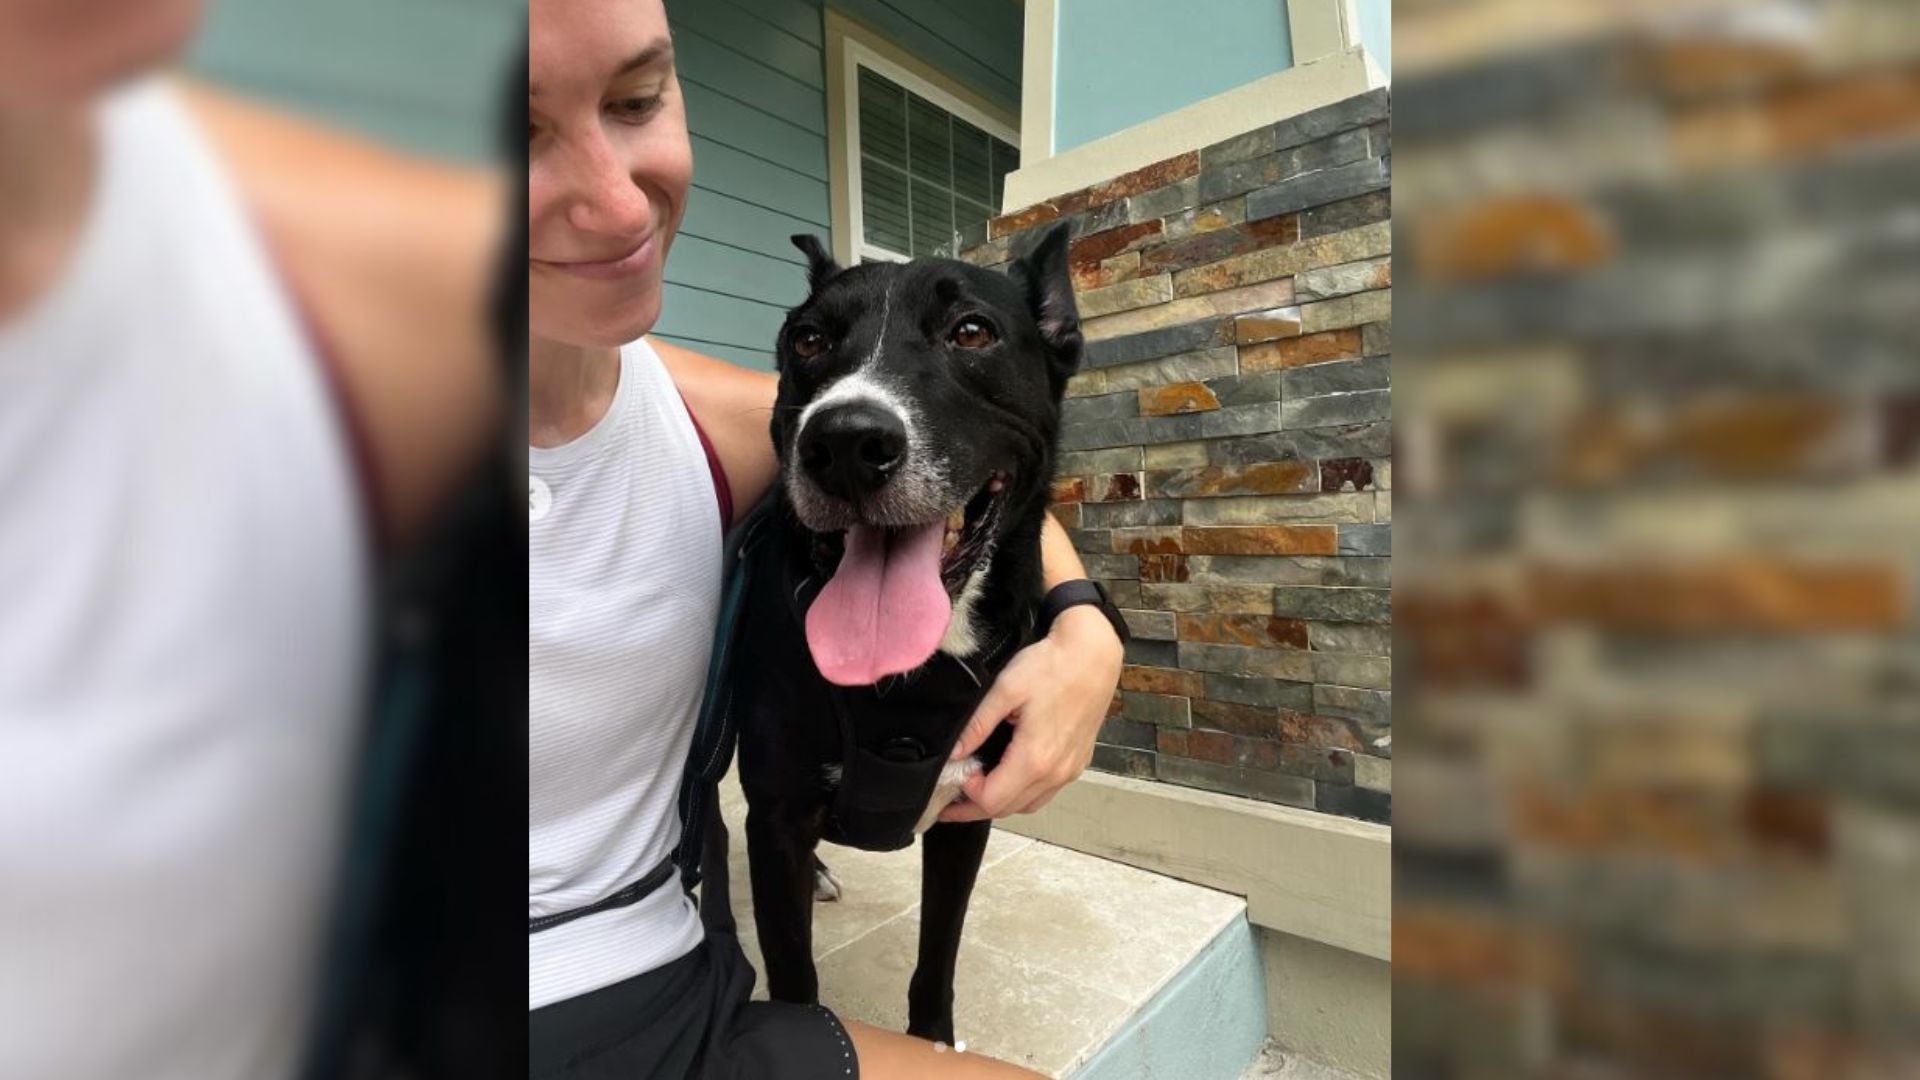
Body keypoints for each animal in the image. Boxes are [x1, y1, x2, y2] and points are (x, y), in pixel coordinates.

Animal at [733, 222, 1090, 1037]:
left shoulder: (968, 816)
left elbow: (939, 954)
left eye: (972, 332)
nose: (843, 444)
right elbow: (794, 973)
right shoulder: (777, 823)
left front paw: (933, 1041)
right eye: (807, 340)